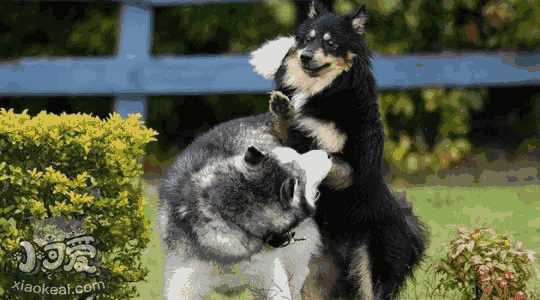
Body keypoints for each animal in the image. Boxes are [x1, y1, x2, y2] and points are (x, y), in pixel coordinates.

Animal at [251, 1, 428, 298]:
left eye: (330, 43)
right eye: (307, 39)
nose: (305, 57)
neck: (321, 92)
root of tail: (408, 225)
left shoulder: (350, 169)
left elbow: (317, 156)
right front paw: (282, 109)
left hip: (370, 264)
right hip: (314, 270)